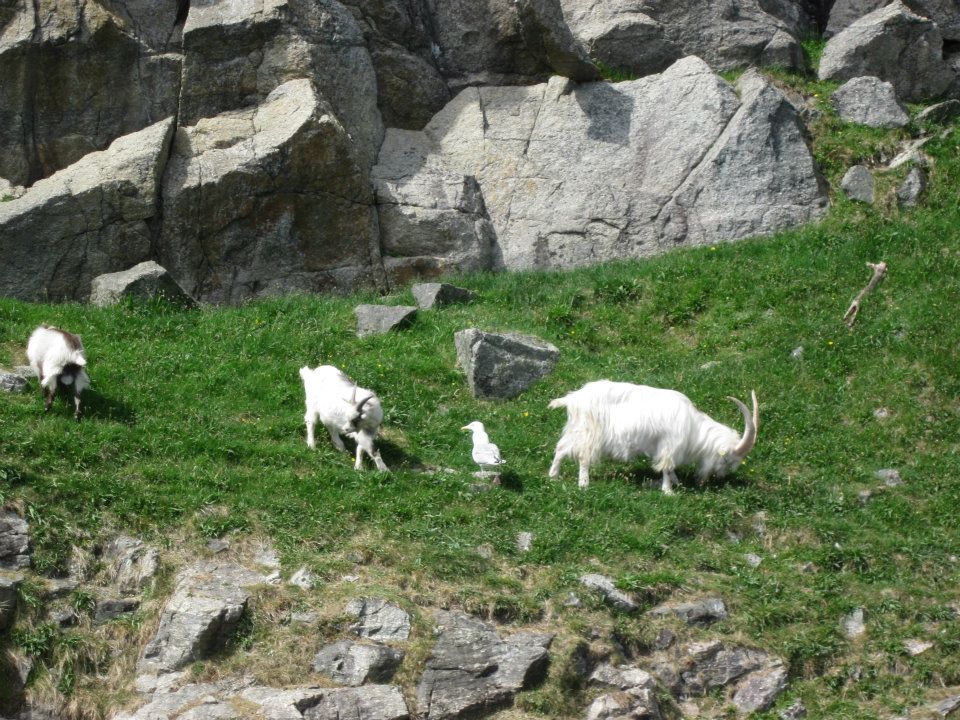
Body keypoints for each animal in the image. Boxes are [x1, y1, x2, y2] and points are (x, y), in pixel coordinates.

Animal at [548, 381, 758, 494]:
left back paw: (553, 476)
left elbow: (671, 468)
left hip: (576, 429)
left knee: (561, 448)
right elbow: (666, 466)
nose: (720, 477)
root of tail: (573, 398)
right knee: (583, 456)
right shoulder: (669, 444)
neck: (693, 428)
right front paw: (668, 491)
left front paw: (677, 482)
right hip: (591, 432)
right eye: (728, 460)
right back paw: (584, 484)